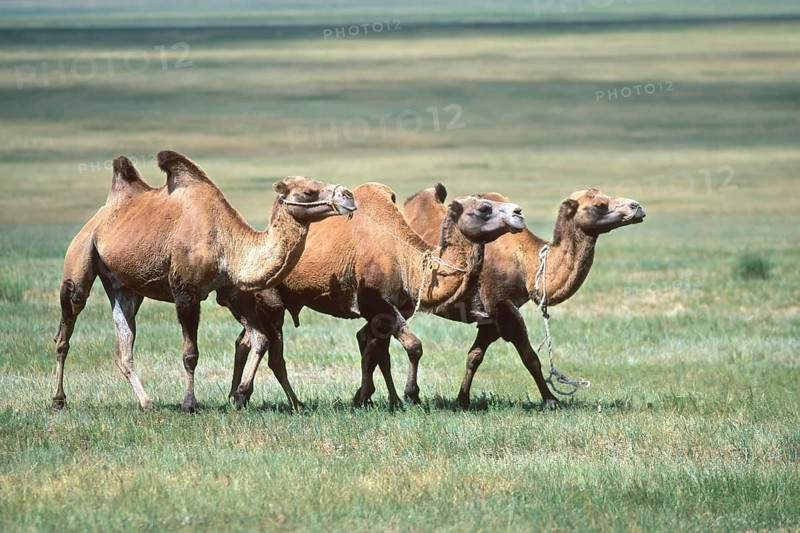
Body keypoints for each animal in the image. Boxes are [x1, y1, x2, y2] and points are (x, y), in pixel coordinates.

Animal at [52, 151, 356, 412]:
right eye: (308, 192)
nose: (348, 196)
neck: (228, 243)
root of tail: (101, 215)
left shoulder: (233, 291)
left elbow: (260, 338)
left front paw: (240, 394)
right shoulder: (186, 291)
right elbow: (191, 353)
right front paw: (190, 404)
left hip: (125, 286)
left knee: (124, 342)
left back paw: (147, 403)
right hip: (80, 257)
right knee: (67, 326)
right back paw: (58, 399)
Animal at [224, 182, 527, 409]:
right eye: (484, 208)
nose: (519, 212)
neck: (406, 260)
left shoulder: (390, 309)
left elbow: (378, 351)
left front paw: (373, 398)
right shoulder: (375, 303)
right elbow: (411, 346)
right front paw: (410, 395)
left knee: (245, 341)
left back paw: (236, 396)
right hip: (270, 300)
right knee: (272, 351)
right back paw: (286, 402)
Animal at [402, 184, 645, 408]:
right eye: (599, 205)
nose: (637, 207)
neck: (527, 264)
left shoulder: (491, 317)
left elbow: (474, 357)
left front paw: (463, 400)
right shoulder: (501, 305)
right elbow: (530, 358)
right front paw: (551, 400)